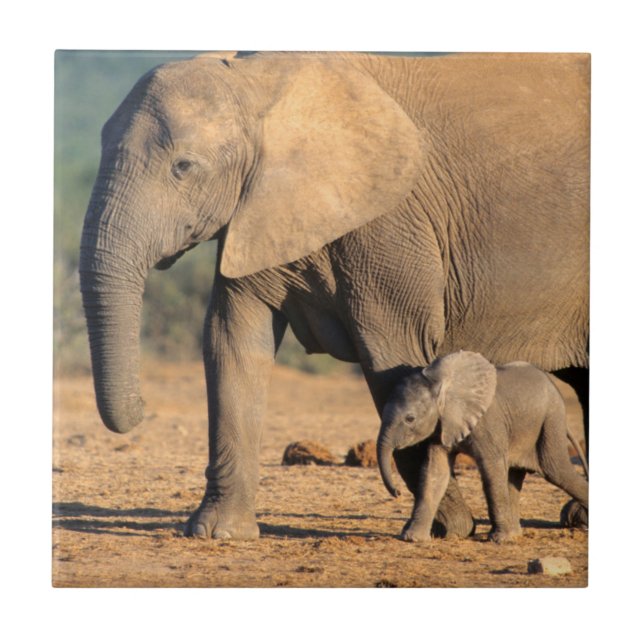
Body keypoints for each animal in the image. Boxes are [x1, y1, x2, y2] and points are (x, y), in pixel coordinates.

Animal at [376, 352, 589, 543]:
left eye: (410, 419)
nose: (397, 493)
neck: (440, 382)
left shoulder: (487, 423)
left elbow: (491, 468)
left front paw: (500, 540)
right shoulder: (442, 426)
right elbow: (435, 472)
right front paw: (412, 538)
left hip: (550, 419)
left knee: (555, 470)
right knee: (515, 474)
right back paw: (515, 534)